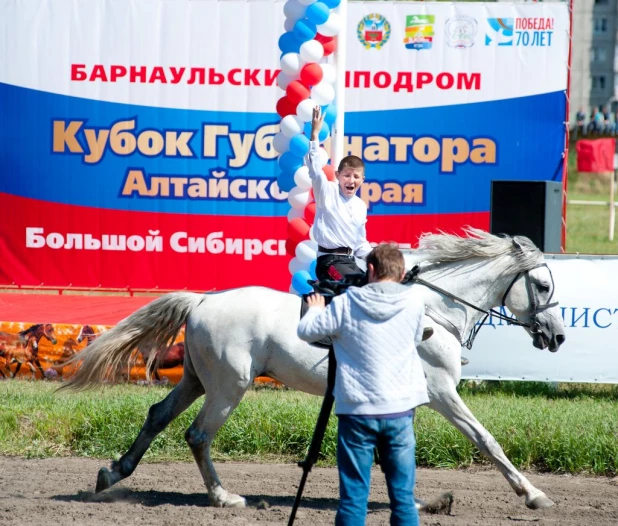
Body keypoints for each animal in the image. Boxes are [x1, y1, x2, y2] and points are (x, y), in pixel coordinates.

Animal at [60, 229, 564, 512]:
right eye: (542, 285)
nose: (558, 336)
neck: (432, 311)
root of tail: (203, 300)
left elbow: (394, 453)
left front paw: (419, 500)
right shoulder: (441, 392)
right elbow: (486, 440)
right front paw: (534, 495)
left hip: (196, 379)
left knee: (158, 415)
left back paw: (114, 473)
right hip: (229, 386)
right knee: (197, 435)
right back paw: (224, 497)